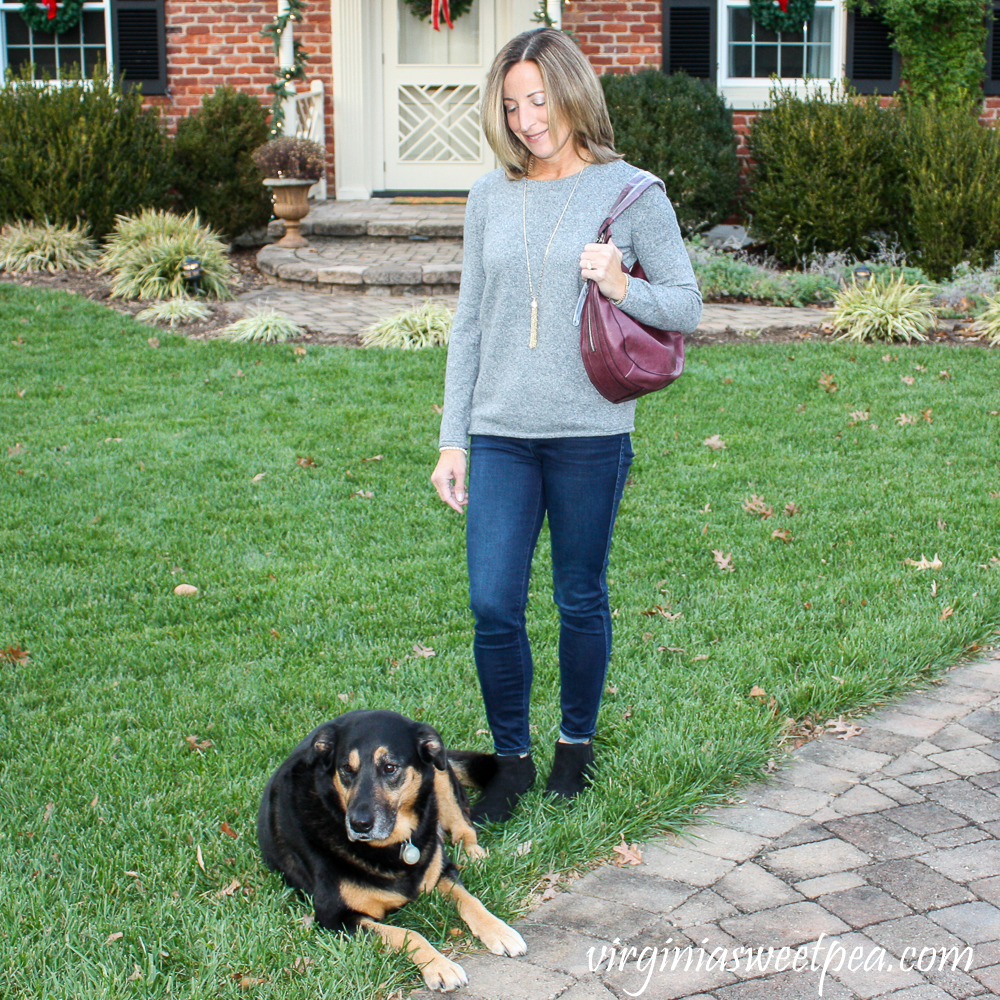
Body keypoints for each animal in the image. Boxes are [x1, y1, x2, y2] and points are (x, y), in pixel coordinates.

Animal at [258, 712, 528, 992]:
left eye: (389, 767)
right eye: (346, 769)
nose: (358, 824)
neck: (394, 844)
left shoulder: (442, 870)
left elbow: (470, 900)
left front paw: (498, 929)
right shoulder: (335, 917)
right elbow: (409, 933)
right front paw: (440, 966)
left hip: (439, 773)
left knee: (463, 825)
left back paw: (473, 853)